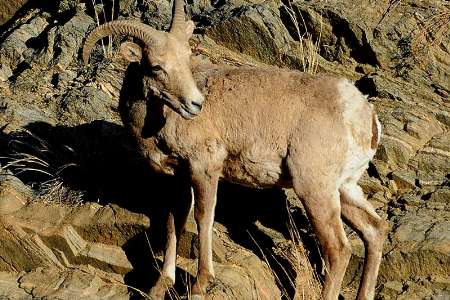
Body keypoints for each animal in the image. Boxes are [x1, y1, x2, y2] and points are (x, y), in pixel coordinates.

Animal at [82, 0, 388, 300]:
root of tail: (364, 116)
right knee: (375, 230)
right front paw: (160, 286)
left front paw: (201, 284)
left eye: (187, 58)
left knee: (338, 249)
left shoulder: (204, 169)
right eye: (156, 66)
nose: (195, 104)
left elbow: (203, 218)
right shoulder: (177, 178)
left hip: (314, 189)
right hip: (345, 189)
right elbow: (174, 222)